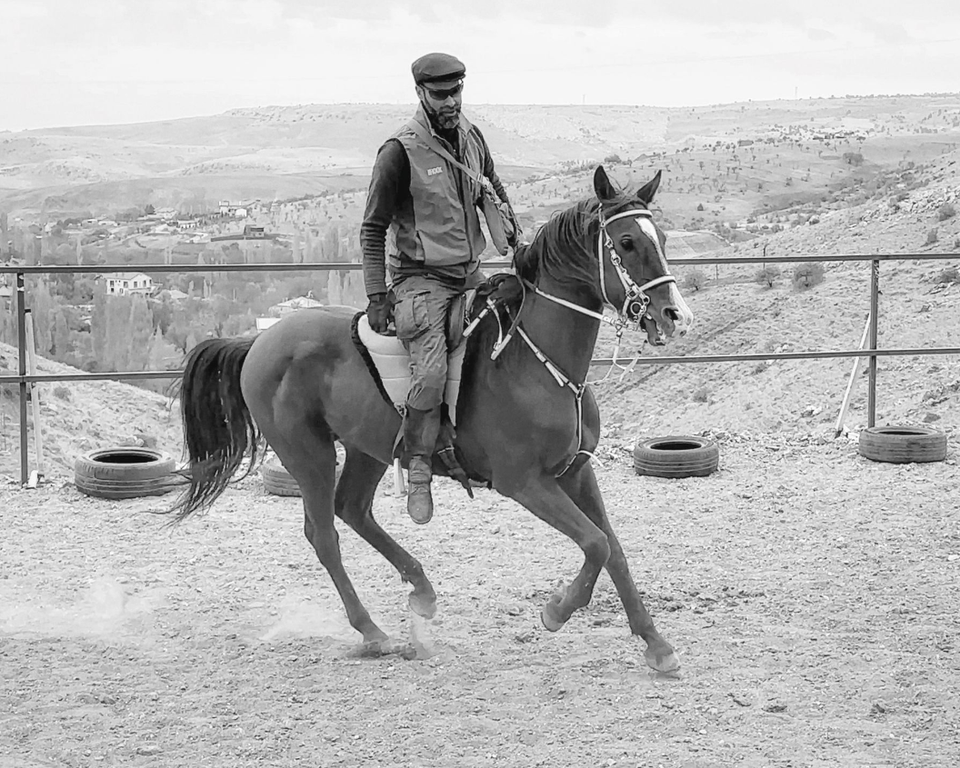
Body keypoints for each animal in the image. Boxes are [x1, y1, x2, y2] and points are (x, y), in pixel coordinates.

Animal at [172, 165, 692, 668]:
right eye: (627, 242)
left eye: (662, 240)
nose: (674, 315)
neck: (535, 360)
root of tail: (258, 341)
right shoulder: (524, 483)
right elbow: (595, 543)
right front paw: (557, 609)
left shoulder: (577, 472)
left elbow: (613, 549)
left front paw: (656, 644)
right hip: (308, 454)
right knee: (323, 534)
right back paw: (373, 632)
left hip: (368, 449)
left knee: (352, 509)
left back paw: (421, 591)